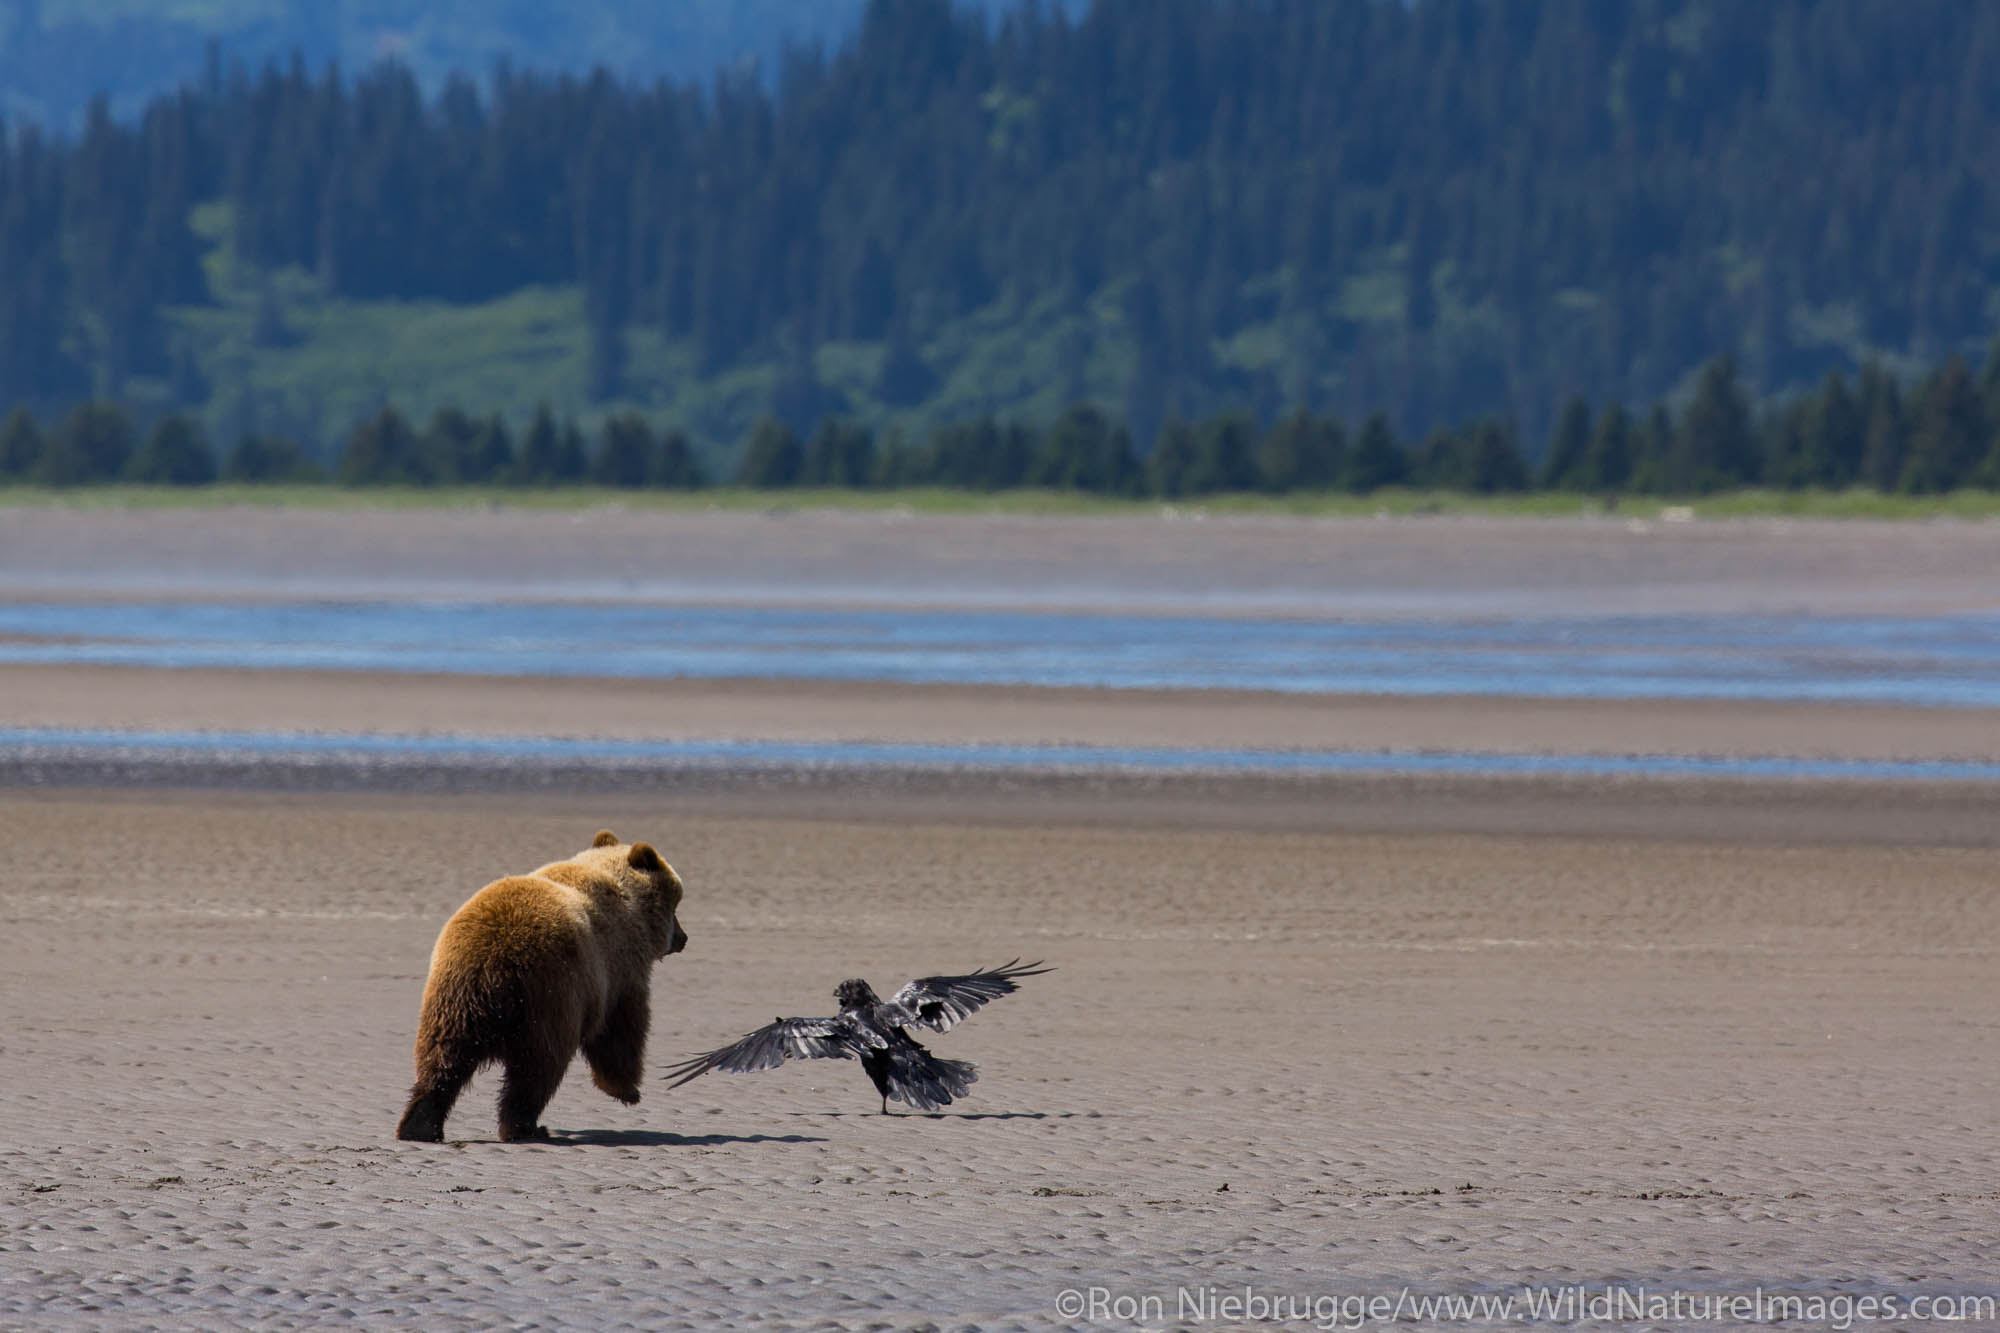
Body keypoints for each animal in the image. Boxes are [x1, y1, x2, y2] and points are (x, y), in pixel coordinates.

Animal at [394, 824, 692, 1136]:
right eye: (675, 906)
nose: (683, 938)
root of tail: (494, 958)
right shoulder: (617, 970)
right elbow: (621, 1028)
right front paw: (626, 1089)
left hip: (453, 997)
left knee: (442, 1061)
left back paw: (420, 1125)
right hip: (549, 994)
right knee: (537, 1068)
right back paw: (524, 1126)